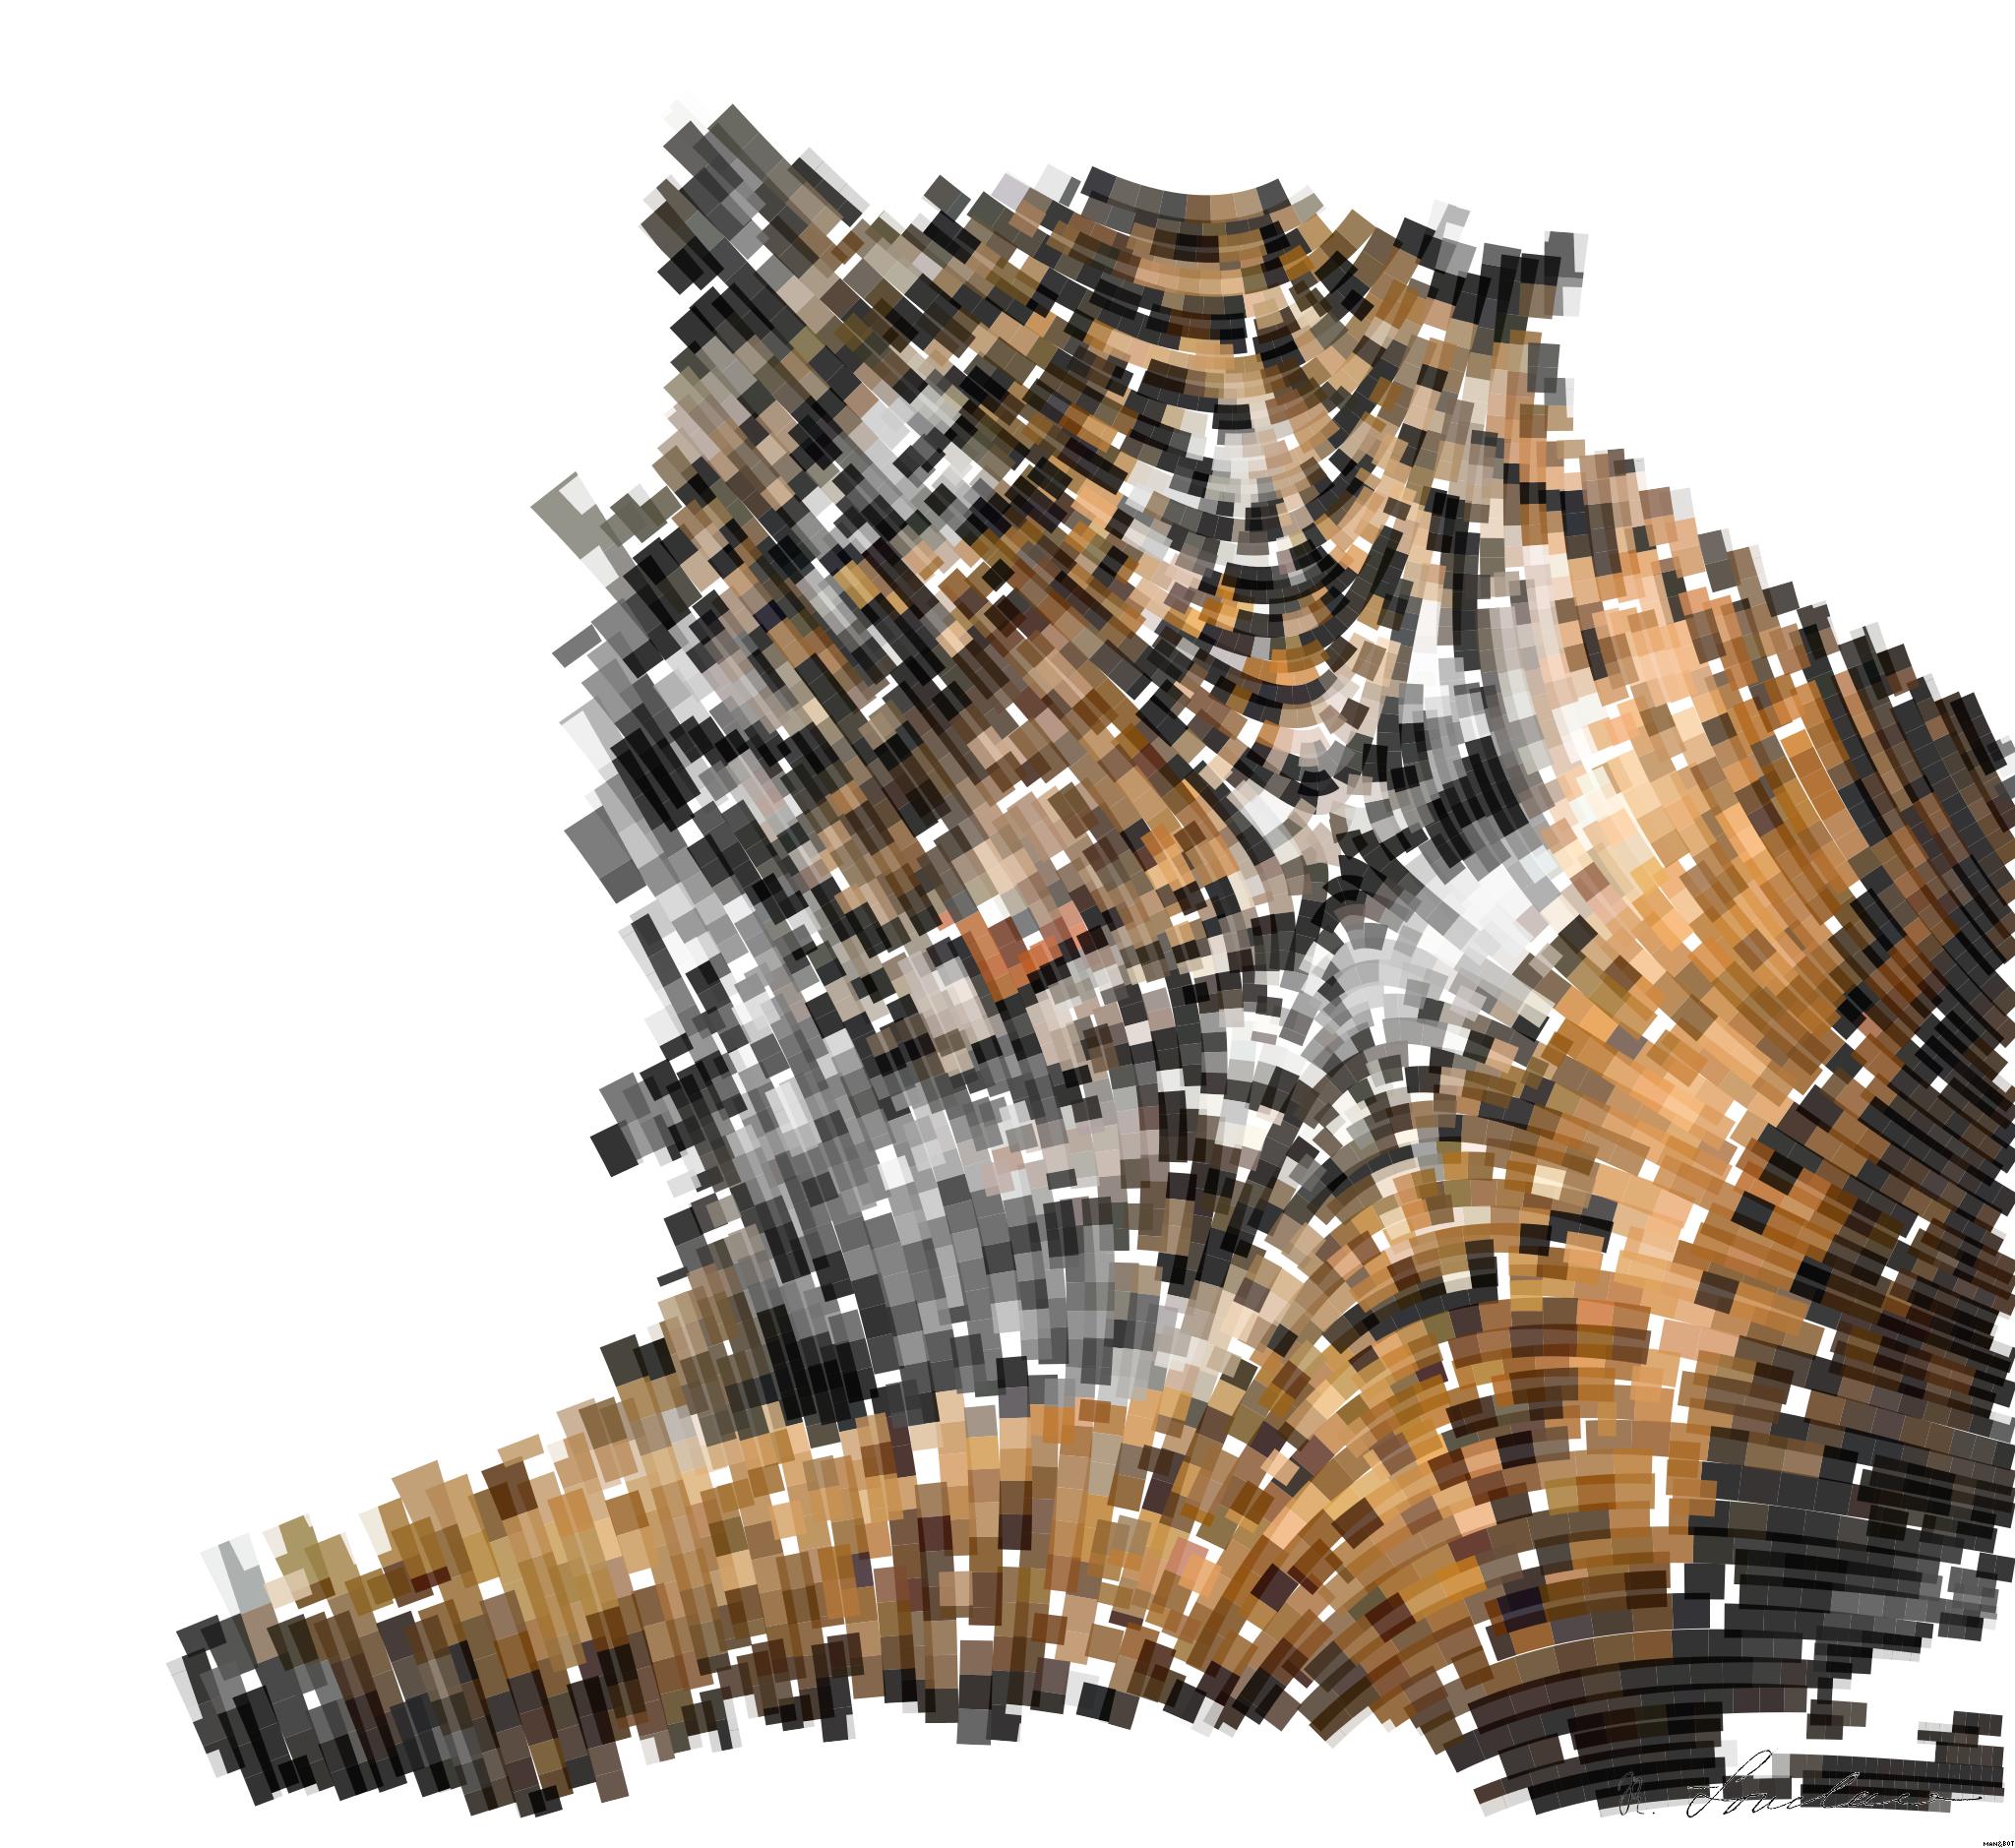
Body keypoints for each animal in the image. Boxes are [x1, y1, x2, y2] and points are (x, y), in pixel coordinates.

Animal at [172, 105, 2015, 1817]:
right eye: (877, 550)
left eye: (1246, 586)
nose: (1011, 935)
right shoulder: (780, 1307)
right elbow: (619, 1450)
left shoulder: (1385, 1495)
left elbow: (851, 1509)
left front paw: (339, 1651)